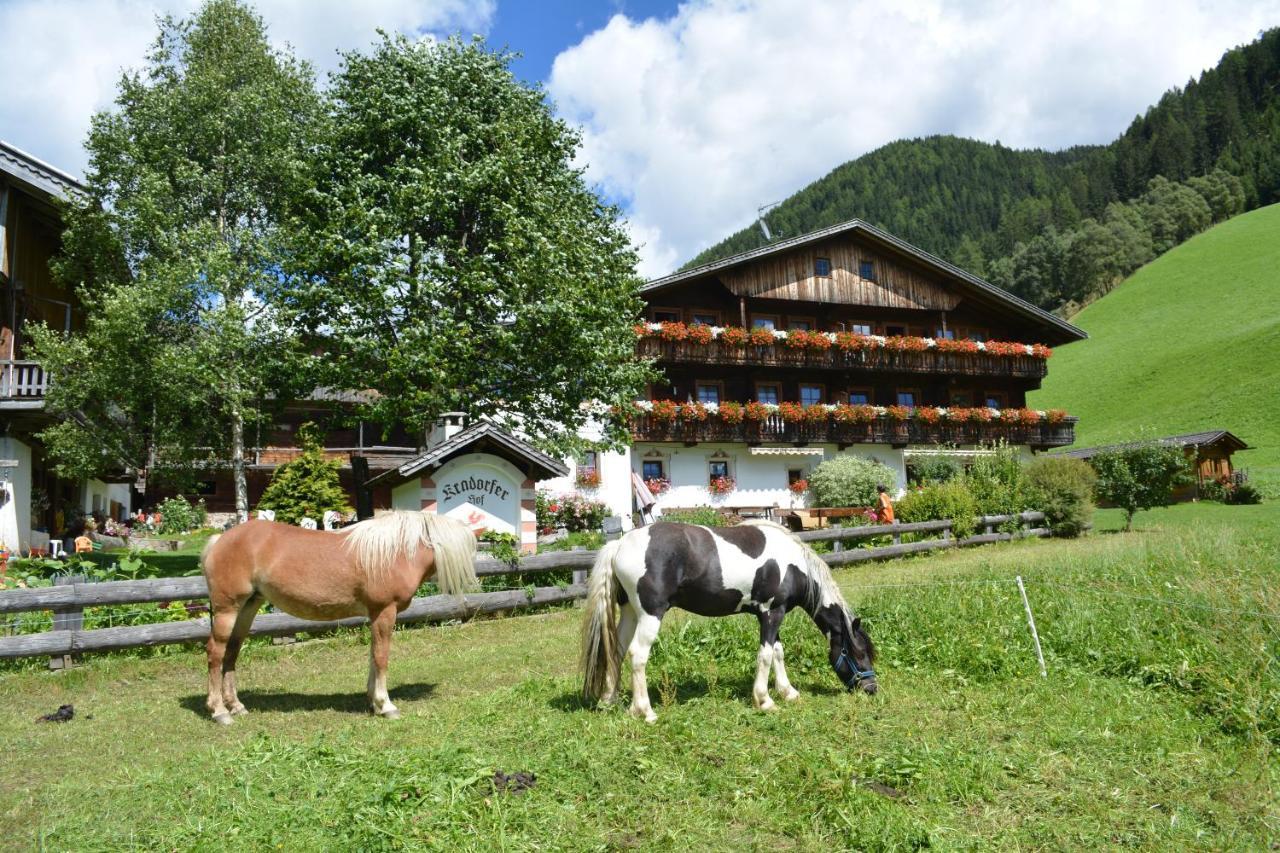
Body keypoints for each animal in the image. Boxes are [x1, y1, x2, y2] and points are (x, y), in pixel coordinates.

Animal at [197, 507, 478, 722]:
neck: (394, 552)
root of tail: (219, 540)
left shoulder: (374, 615)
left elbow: (373, 656)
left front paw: (372, 701)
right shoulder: (384, 612)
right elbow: (381, 657)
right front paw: (385, 705)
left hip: (248, 608)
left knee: (232, 652)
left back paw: (236, 706)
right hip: (227, 610)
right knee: (216, 652)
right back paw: (219, 711)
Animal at [583, 514, 875, 722]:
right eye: (859, 654)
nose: (871, 689)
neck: (794, 565)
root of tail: (619, 544)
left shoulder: (770, 615)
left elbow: (778, 652)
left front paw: (788, 692)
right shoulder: (772, 613)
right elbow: (765, 655)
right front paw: (764, 701)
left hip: (630, 611)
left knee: (617, 651)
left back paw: (609, 700)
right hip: (650, 615)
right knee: (637, 655)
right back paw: (645, 711)